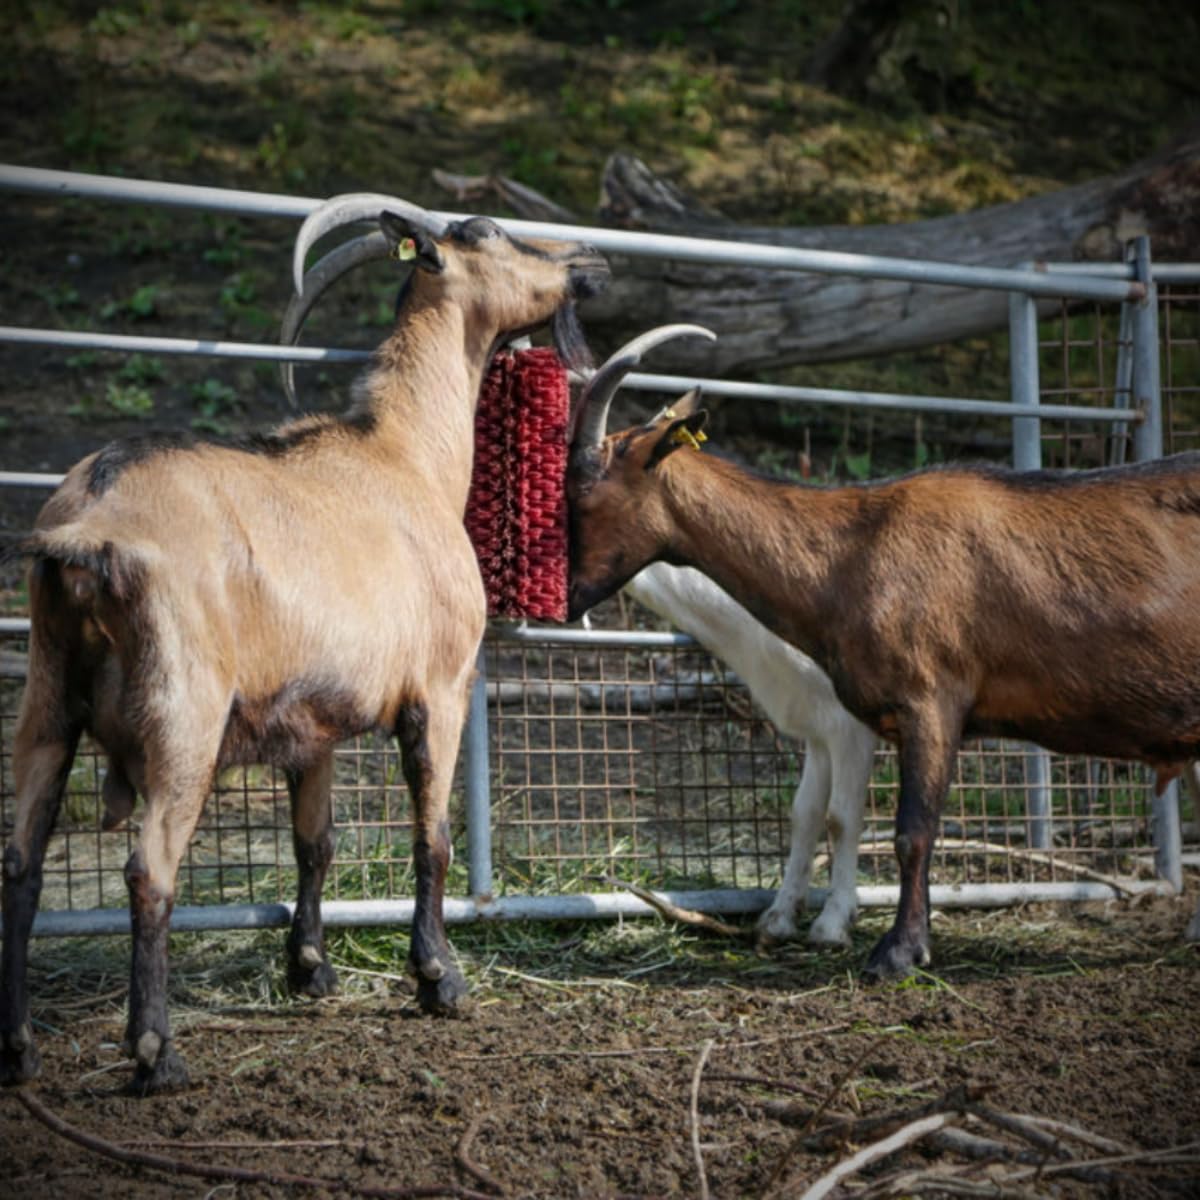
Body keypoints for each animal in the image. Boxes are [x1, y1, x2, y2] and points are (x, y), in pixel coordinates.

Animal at [0, 193, 609, 1094]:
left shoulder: (312, 719)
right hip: (182, 711)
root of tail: (88, 525)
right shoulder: (441, 686)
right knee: (149, 868)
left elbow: (313, 842)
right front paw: (439, 978)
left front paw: (311, 969)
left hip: (46, 692)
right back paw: (156, 1052)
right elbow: (433, 835)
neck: (405, 457)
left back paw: (18, 1047)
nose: (590, 262)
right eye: (487, 231)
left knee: (21, 861)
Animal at [566, 345, 1200, 979]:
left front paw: (896, 951)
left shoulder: (930, 701)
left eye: (579, 490)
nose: (564, 598)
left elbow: (909, 832)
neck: (851, 552)